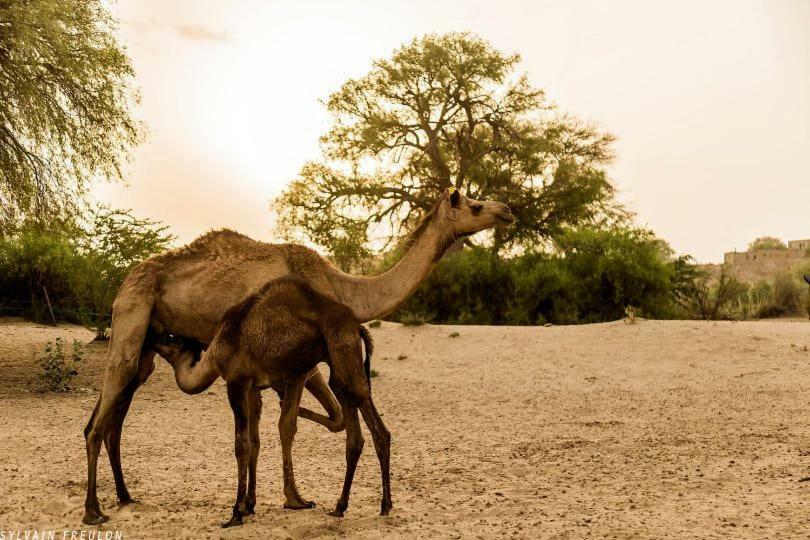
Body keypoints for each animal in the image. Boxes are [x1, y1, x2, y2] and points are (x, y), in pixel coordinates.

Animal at [155, 278, 392, 528]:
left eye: (171, 338)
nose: (154, 338)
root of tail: (357, 327)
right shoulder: (253, 386)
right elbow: (255, 441)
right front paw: (251, 504)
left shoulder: (237, 381)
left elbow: (242, 443)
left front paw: (236, 512)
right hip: (341, 362)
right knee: (359, 433)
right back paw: (349, 507)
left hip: (342, 355)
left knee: (371, 425)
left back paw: (376, 505)